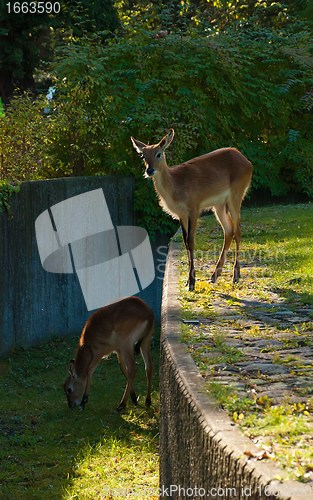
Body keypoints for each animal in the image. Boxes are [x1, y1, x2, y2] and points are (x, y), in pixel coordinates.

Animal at [130, 129, 252, 292]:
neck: (175, 186)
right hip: (219, 204)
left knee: (238, 230)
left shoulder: (194, 207)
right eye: (143, 156)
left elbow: (191, 241)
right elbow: (185, 242)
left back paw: (235, 276)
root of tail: (247, 162)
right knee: (229, 230)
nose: (150, 170)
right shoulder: (181, 214)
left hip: (237, 194)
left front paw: (192, 283)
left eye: (159, 153)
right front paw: (188, 281)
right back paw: (214, 276)